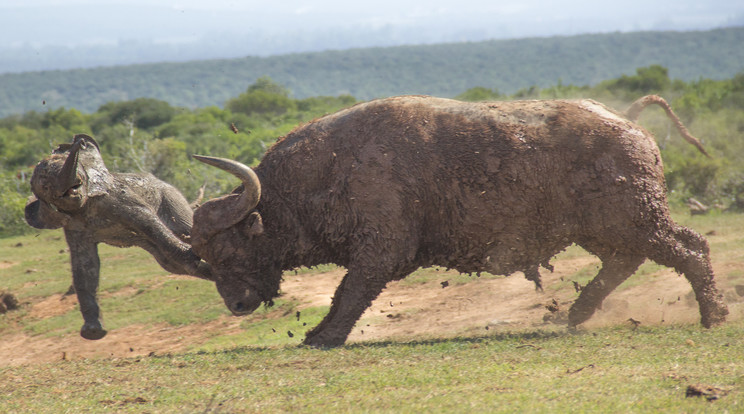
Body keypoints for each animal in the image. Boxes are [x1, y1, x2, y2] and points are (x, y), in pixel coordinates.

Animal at [190, 95, 728, 348]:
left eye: (229, 250)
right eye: (204, 257)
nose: (237, 305)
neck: (328, 171)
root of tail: (628, 123)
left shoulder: (379, 251)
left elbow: (349, 294)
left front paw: (323, 336)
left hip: (637, 219)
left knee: (690, 249)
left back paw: (715, 315)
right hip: (605, 229)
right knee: (627, 261)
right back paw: (574, 314)